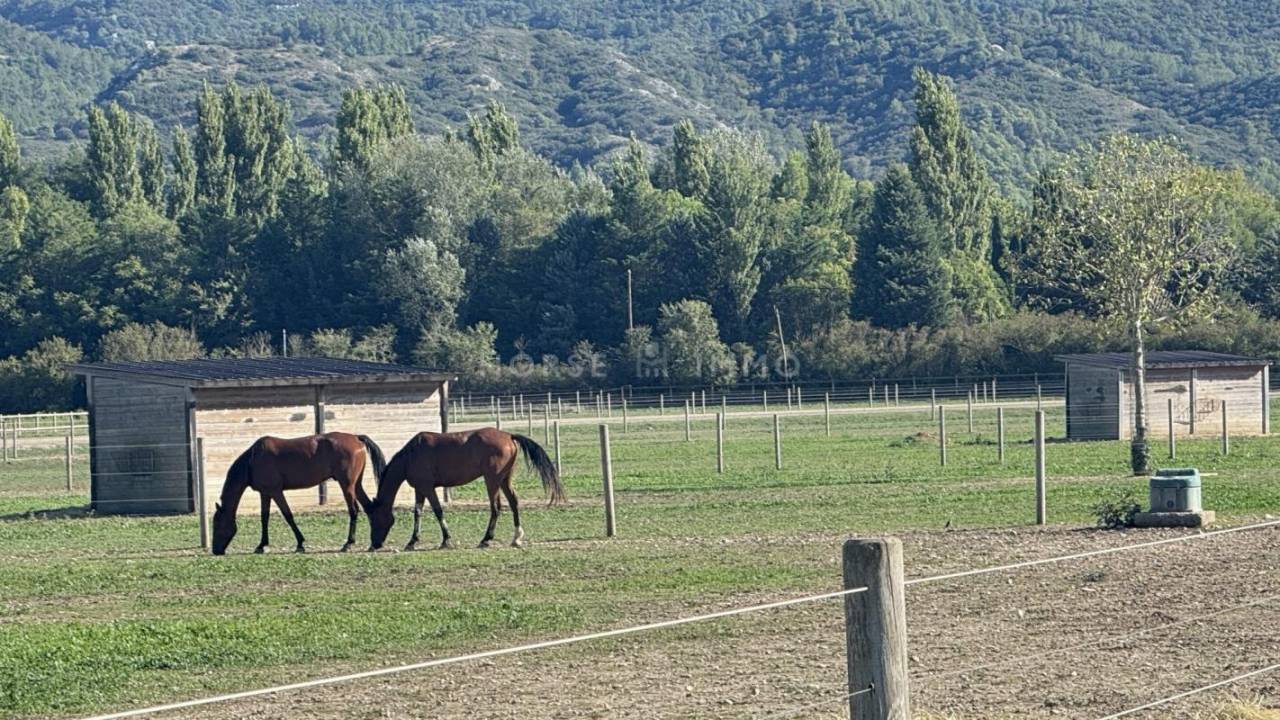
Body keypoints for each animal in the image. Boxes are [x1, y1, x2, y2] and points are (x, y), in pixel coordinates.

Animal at [211, 432, 386, 555]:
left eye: (217, 524)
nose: (215, 550)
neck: (252, 460)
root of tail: (356, 438)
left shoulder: (276, 491)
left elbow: (288, 515)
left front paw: (300, 544)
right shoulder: (265, 493)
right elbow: (264, 517)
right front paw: (261, 545)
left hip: (347, 485)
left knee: (354, 510)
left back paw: (348, 543)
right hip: (356, 485)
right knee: (369, 508)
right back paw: (373, 543)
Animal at [367, 427, 565, 551]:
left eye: (374, 519)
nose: (374, 544)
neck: (411, 456)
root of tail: (508, 436)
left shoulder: (428, 488)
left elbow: (438, 511)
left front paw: (446, 540)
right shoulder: (420, 490)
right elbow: (418, 512)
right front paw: (412, 541)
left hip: (492, 480)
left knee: (496, 507)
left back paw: (486, 539)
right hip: (504, 480)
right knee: (513, 502)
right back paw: (516, 538)